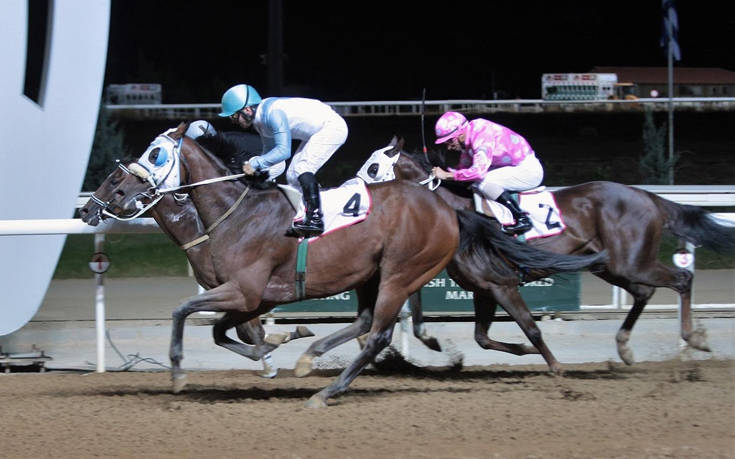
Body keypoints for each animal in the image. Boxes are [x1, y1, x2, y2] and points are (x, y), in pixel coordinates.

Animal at [83, 122, 608, 406]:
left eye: (155, 153)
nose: (91, 209)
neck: (234, 214)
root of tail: (448, 210)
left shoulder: (246, 290)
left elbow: (186, 313)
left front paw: (178, 373)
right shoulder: (251, 296)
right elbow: (220, 329)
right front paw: (278, 350)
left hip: (400, 272)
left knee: (377, 333)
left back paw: (327, 390)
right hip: (372, 275)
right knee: (364, 323)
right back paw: (311, 361)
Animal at [358, 137, 735, 366]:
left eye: (373, 168)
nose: (355, 188)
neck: (458, 210)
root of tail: (647, 196)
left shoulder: (502, 284)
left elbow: (531, 328)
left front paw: (555, 365)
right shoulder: (484, 288)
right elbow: (482, 338)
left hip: (632, 262)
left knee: (681, 278)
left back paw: (693, 338)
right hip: (610, 266)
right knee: (645, 292)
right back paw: (625, 346)